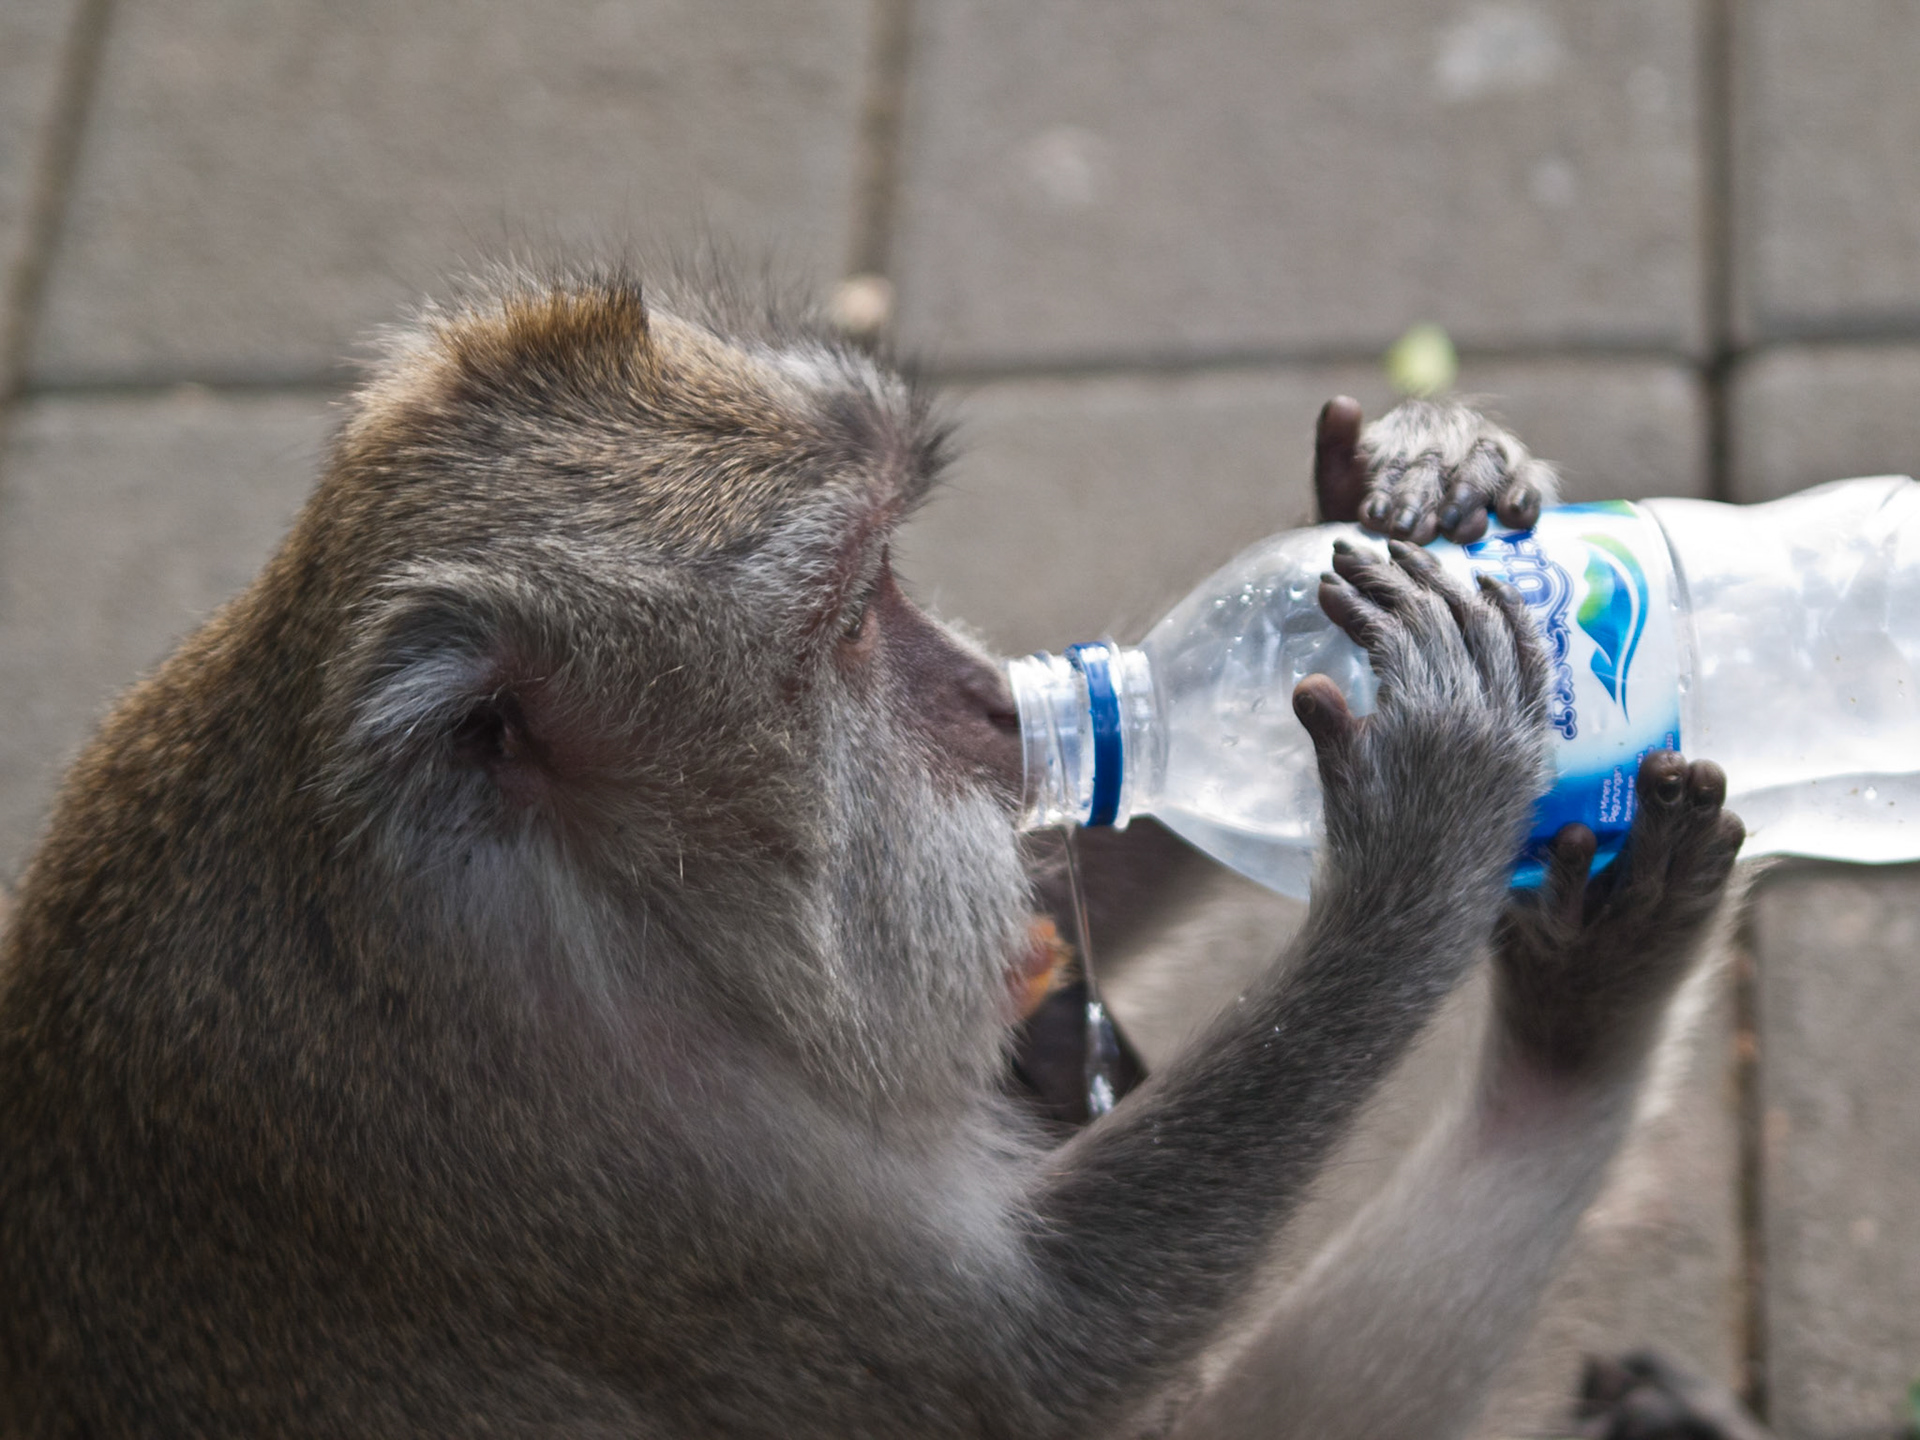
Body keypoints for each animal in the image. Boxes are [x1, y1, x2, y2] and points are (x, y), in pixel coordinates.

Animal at [0, 269, 1744, 1438]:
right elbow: (1043, 1354)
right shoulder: (580, 1147)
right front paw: (1435, 797)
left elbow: (1050, 883)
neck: (610, 894)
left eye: (889, 573)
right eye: (846, 618)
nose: (981, 694)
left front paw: (1409, 480)